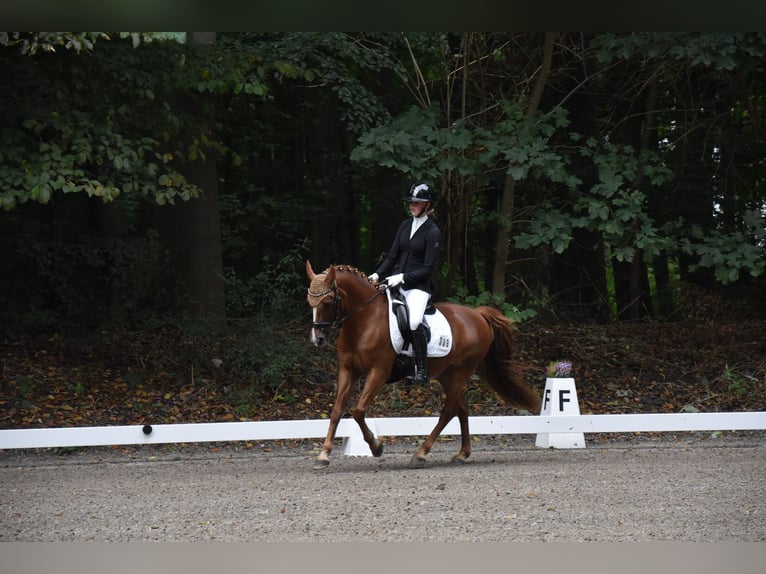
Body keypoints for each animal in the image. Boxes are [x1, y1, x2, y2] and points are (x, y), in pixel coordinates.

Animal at [306, 264, 540, 470]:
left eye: (327, 302)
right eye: (310, 302)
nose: (317, 339)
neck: (364, 320)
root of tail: (478, 314)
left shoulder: (378, 372)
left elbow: (358, 411)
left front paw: (376, 447)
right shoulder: (348, 370)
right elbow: (337, 411)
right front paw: (323, 455)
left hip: (461, 372)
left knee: (449, 411)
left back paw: (421, 453)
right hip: (447, 374)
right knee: (462, 408)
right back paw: (462, 454)